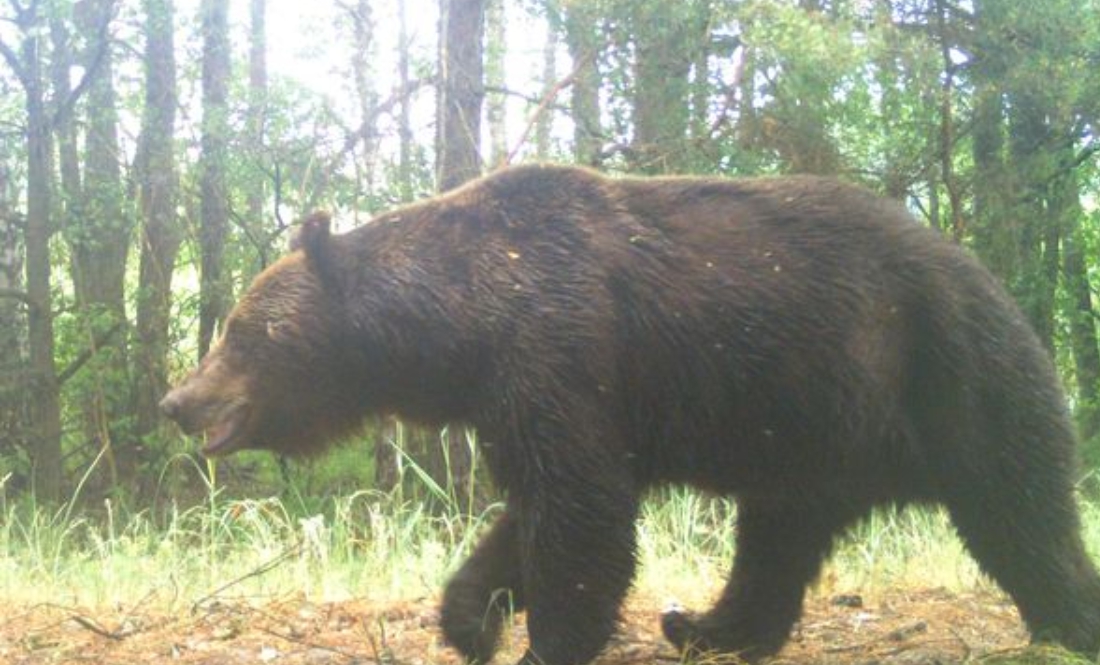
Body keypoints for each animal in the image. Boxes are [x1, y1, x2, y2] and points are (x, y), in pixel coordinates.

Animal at [159, 161, 1100, 663]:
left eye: (239, 332)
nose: (177, 400)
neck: (464, 320)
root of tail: (996, 285)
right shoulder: (516, 393)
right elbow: (534, 510)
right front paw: (472, 618)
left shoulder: (562, 347)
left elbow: (582, 519)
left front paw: (544, 638)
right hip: (811, 434)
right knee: (776, 541)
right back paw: (704, 623)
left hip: (953, 379)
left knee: (1022, 513)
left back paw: (1066, 619)